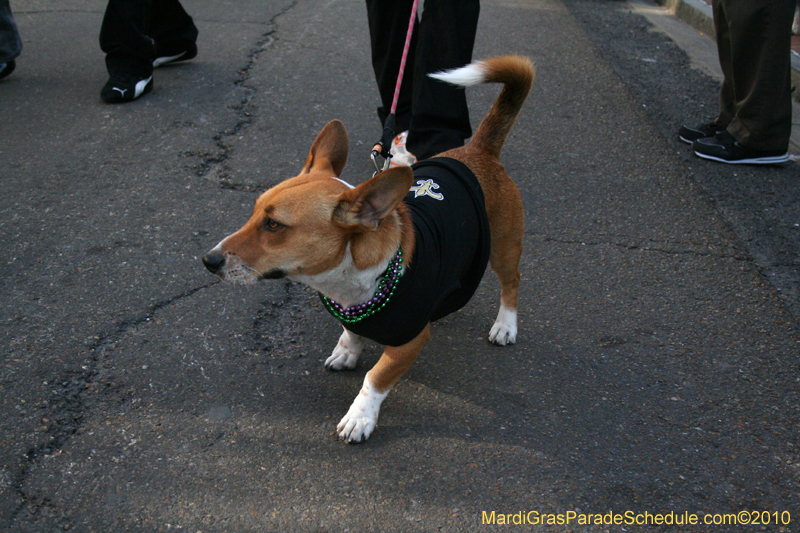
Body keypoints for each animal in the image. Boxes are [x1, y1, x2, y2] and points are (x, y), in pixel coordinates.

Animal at [203, 56, 536, 442]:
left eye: (274, 225)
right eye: (254, 211)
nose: (208, 260)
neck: (350, 280)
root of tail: (478, 150)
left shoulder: (409, 342)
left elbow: (375, 378)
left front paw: (360, 417)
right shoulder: (350, 313)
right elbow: (351, 333)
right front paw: (348, 352)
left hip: (503, 248)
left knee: (511, 281)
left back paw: (506, 325)